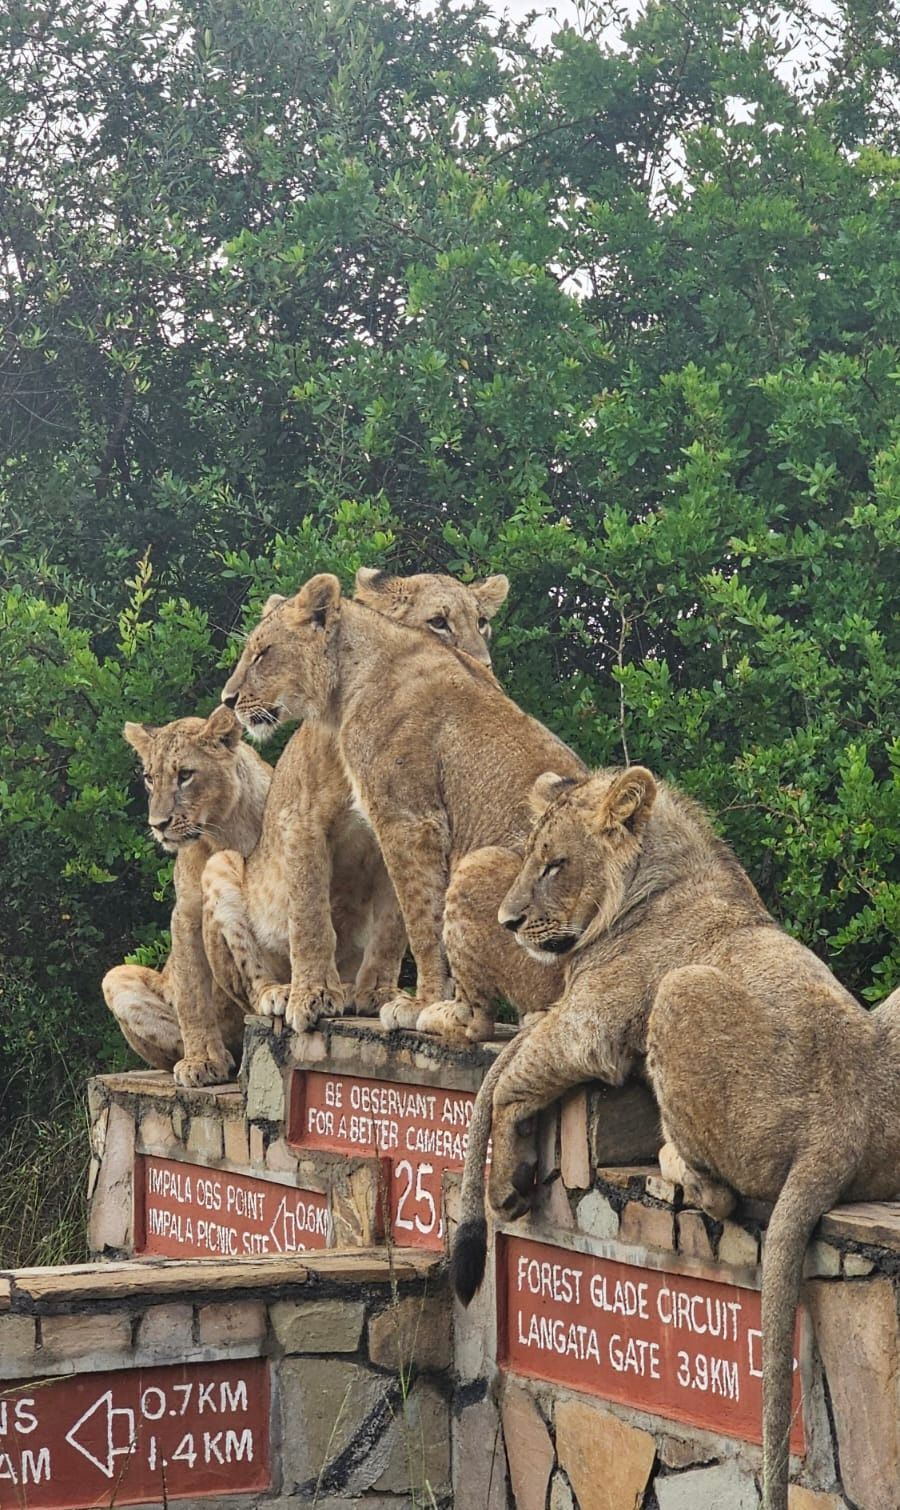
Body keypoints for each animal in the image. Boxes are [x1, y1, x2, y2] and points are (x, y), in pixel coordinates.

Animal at [102, 706, 271, 1087]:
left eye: (185, 775)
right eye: (150, 778)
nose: (158, 824)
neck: (223, 831)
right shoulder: (186, 915)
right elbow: (193, 995)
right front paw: (202, 1060)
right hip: (117, 975)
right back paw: (222, 1060)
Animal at [218, 572, 583, 1038]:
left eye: (263, 653)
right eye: (439, 621)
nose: (228, 700)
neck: (350, 681)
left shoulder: (407, 819)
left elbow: (420, 922)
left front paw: (417, 1002)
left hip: (482, 867)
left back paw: (446, 1013)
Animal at [450, 763, 900, 1510]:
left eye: (554, 864)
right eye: (531, 858)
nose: (508, 923)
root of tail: (841, 1129)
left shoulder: (593, 1025)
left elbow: (504, 1080)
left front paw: (503, 1181)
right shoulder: (571, 1013)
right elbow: (507, 1066)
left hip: (681, 989)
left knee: (721, 1196)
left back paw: (673, 1162)